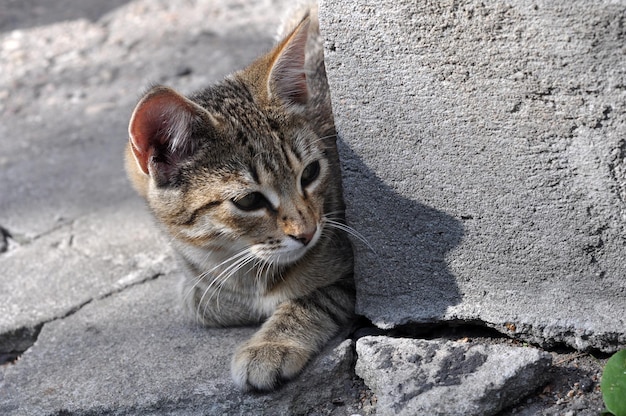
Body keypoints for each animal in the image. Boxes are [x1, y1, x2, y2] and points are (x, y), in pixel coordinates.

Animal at [124, 8, 354, 392]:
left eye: (310, 173)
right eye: (248, 202)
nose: (308, 233)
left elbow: (315, 295)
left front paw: (271, 343)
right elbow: (196, 300)